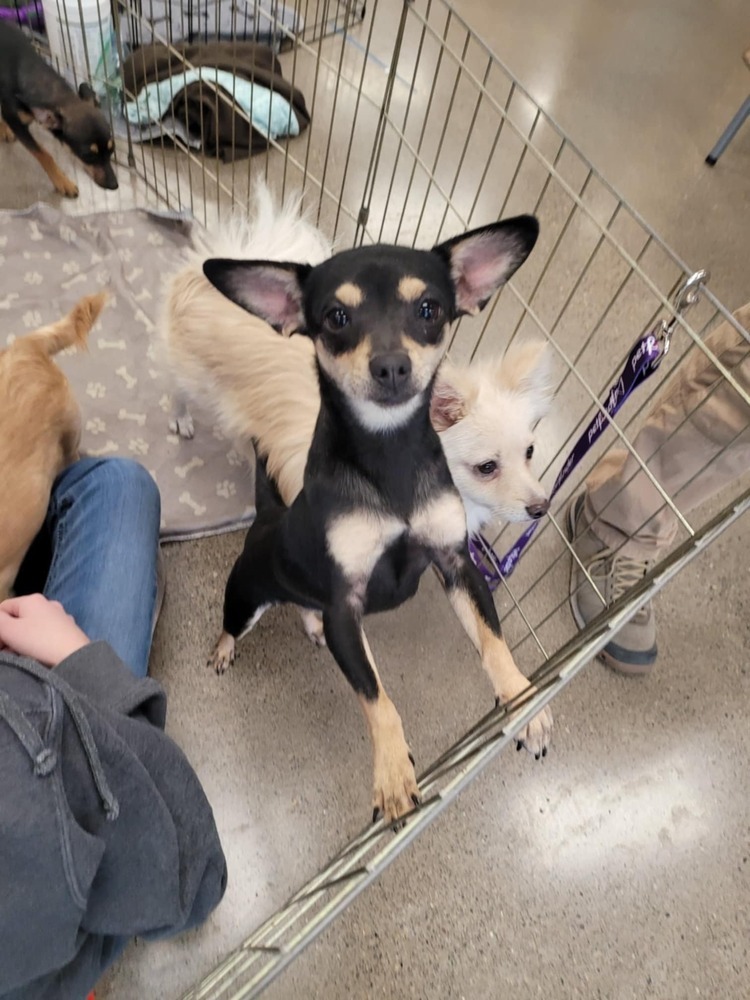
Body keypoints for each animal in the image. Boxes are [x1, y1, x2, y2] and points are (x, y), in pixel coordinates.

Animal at [203, 223, 556, 824]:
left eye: (429, 309)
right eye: (335, 318)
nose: (391, 364)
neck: (389, 454)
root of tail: (270, 516)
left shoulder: (455, 565)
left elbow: (493, 643)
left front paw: (523, 699)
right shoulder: (347, 607)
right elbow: (378, 700)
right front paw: (393, 774)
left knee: (306, 607)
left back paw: (309, 624)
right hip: (246, 597)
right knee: (234, 623)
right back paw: (226, 649)